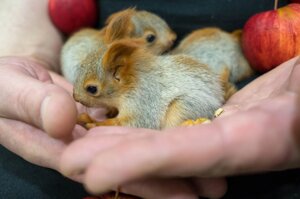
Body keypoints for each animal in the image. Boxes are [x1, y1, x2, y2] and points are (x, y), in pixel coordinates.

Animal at [72, 38, 225, 130]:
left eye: (92, 89)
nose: (75, 97)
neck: (131, 85)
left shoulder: (142, 103)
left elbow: (132, 123)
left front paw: (94, 122)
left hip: (185, 107)